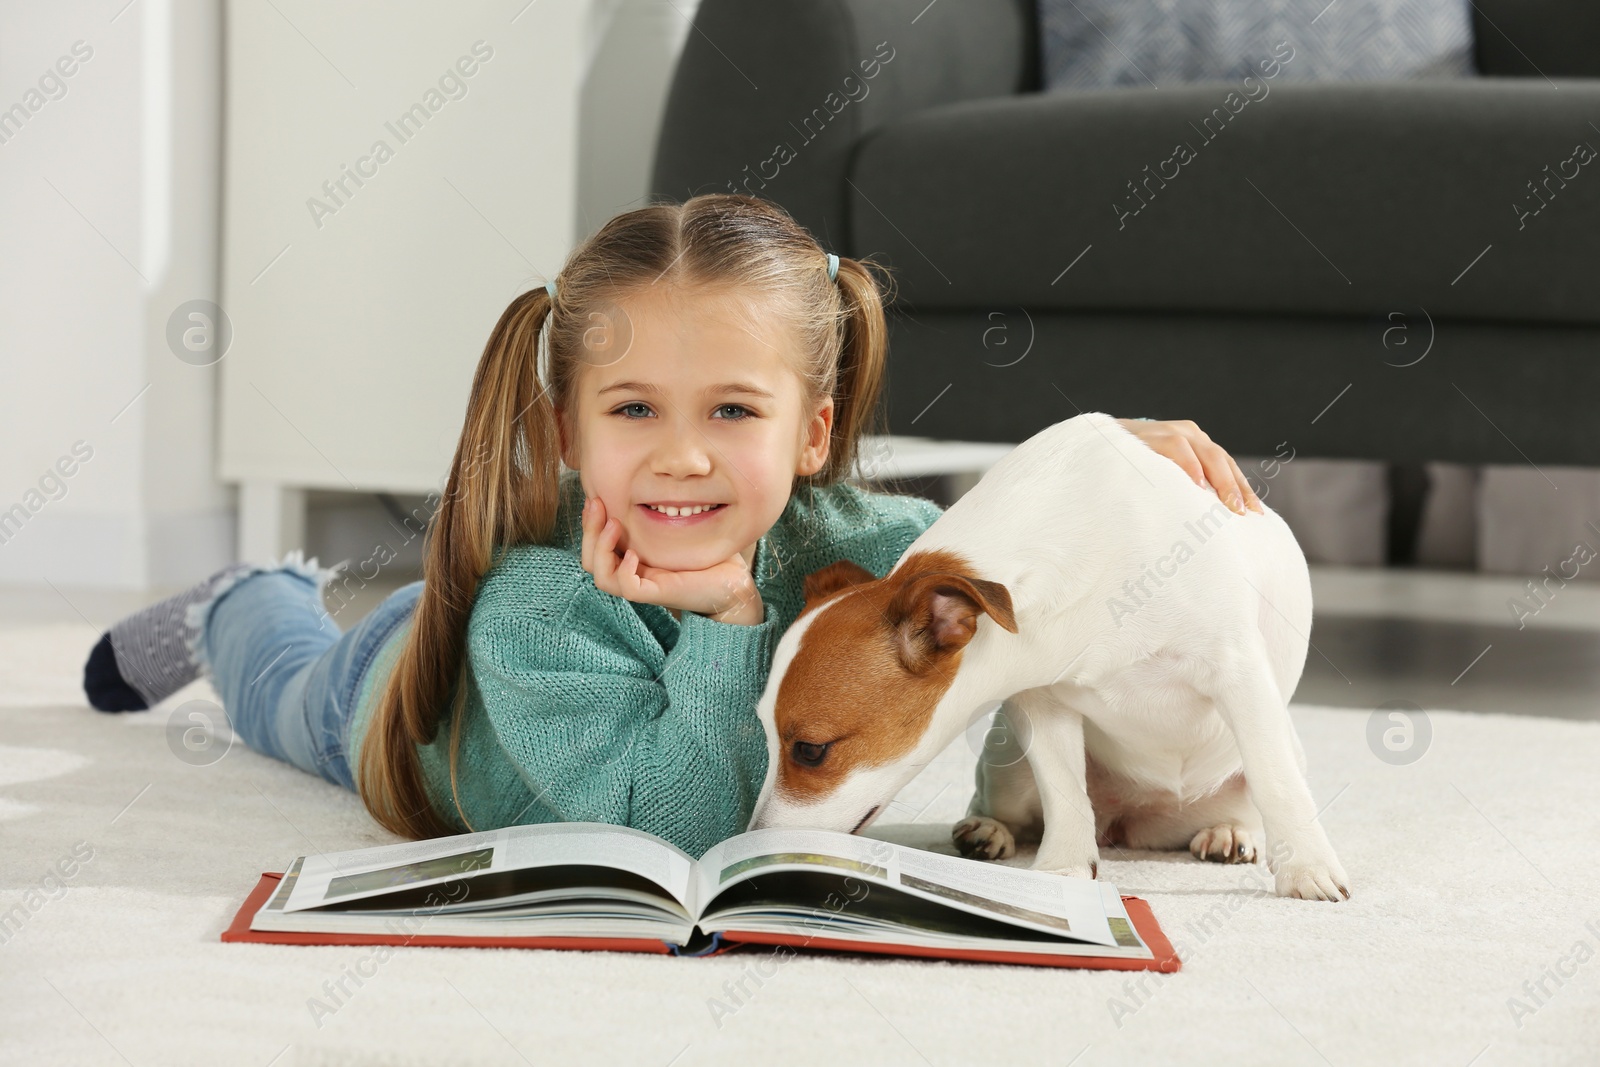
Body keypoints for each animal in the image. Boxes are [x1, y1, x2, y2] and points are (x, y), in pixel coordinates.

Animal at [748, 412, 1350, 895]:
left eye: (810, 751)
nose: (751, 843)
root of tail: (1132, 822)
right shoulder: (1037, 700)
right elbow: (1064, 793)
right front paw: (1063, 871)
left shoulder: (1237, 673)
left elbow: (1277, 784)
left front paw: (1308, 869)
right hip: (1007, 763)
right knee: (1015, 807)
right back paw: (989, 831)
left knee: (1262, 790)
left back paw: (1231, 832)